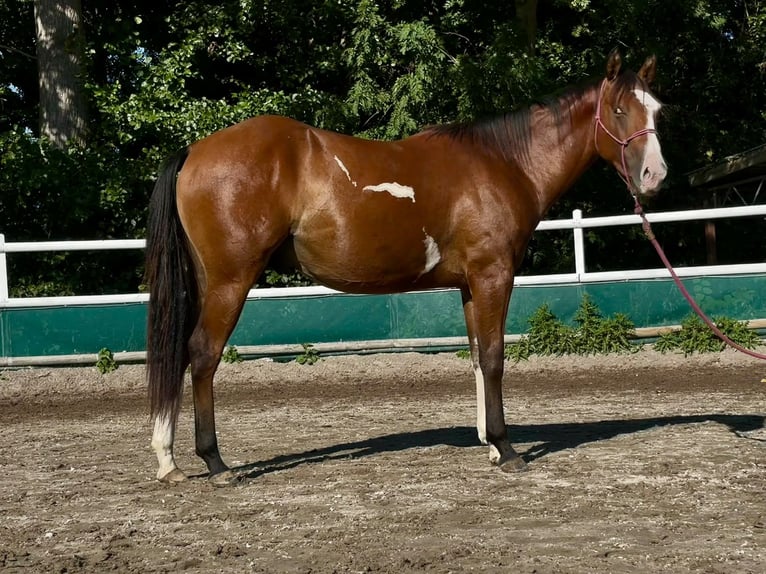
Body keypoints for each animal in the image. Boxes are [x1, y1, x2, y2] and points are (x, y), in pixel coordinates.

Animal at [145, 48, 667, 484]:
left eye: (657, 110)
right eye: (619, 110)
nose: (655, 176)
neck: (504, 163)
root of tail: (194, 151)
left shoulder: (470, 284)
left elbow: (476, 357)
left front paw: (489, 444)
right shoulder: (493, 275)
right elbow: (494, 357)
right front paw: (506, 449)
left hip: (206, 282)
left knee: (179, 353)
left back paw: (168, 461)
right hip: (230, 281)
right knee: (202, 354)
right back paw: (214, 462)